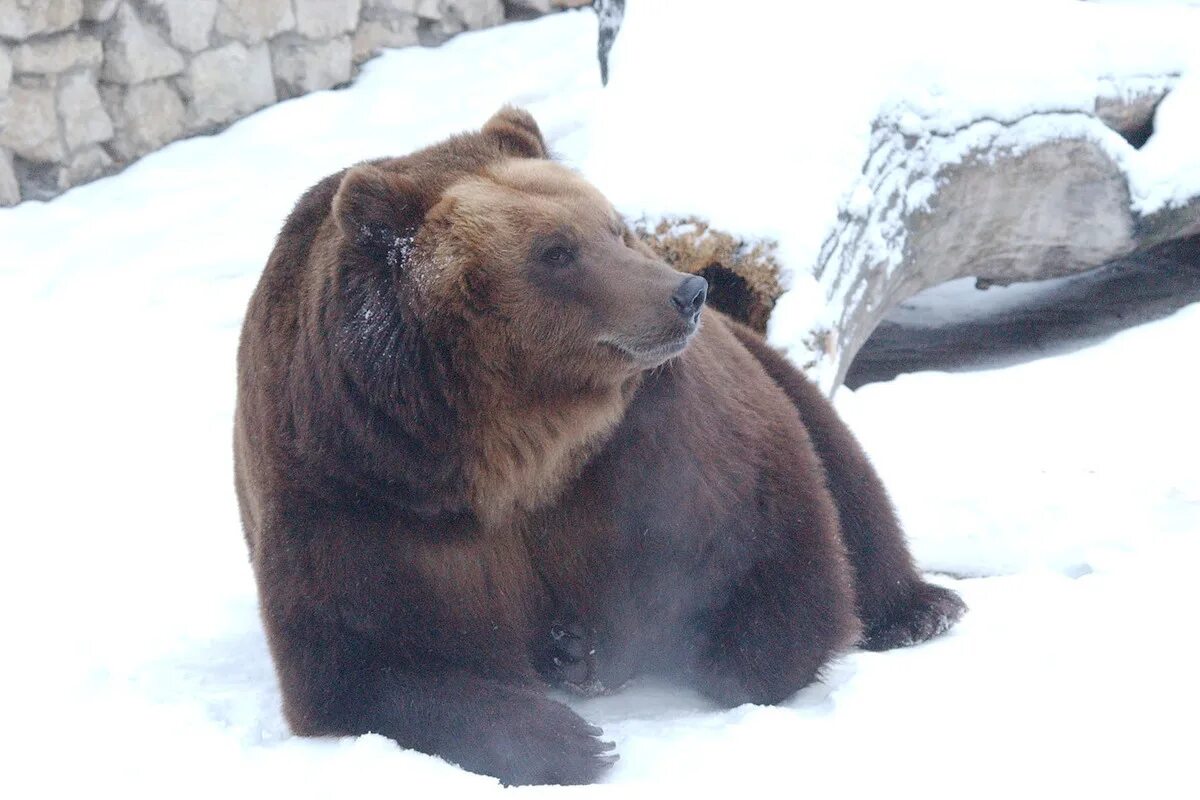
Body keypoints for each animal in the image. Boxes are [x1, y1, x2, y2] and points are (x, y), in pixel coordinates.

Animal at [234, 106, 964, 786]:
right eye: (555, 251)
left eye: (613, 226)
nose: (688, 291)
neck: (515, 441)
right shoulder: (364, 487)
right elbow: (362, 660)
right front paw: (567, 738)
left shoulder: (652, 440)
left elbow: (763, 562)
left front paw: (595, 651)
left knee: (845, 469)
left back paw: (919, 609)